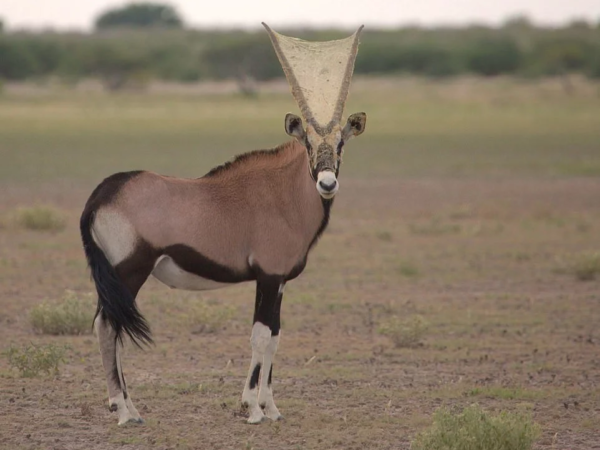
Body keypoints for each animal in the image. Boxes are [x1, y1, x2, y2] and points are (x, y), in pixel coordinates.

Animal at [81, 24, 366, 426]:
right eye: (307, 143)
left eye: (341, 144)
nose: (327, 184)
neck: (282, 192)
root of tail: (103, 193)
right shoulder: (268, 276)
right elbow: (260, 336)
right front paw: (253, 410)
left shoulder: (279, 282)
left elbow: (275, 335)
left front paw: (271, 408)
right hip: (129, 271)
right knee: (108, 325)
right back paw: (123, 411)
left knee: (108, 324)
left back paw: (129, 407)